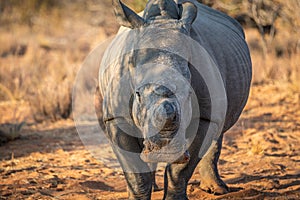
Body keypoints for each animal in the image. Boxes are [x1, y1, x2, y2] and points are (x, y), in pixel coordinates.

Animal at [97, 0, 252, 198]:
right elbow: (136, 173)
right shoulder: (115, 117)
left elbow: (181, 170)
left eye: (189, 94)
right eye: (138, 95)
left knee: (218, 129)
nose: (165, 152)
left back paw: (217, 189)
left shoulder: (205, 117)